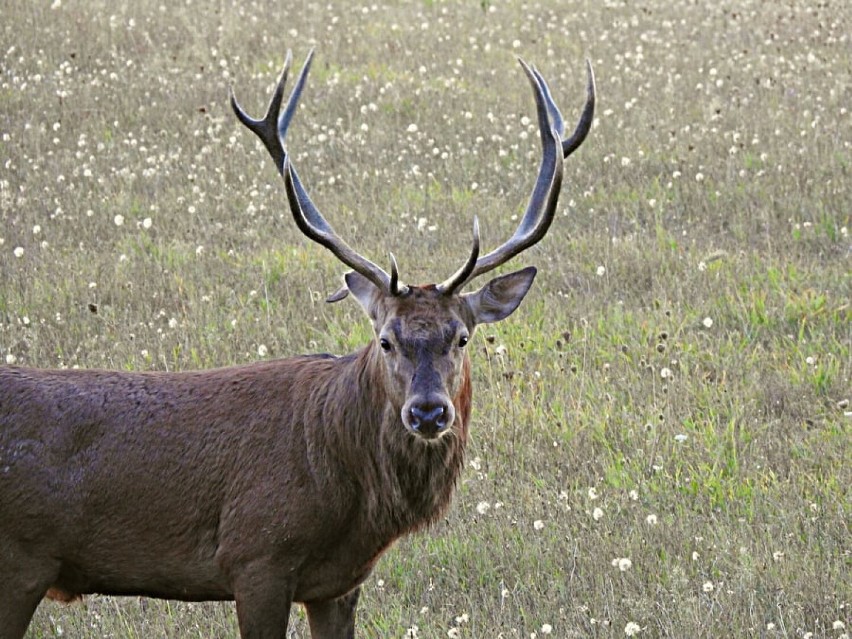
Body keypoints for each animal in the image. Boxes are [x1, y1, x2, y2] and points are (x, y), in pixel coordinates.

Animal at [0, 50, 592, 639]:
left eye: (463, 337)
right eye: (385, 341)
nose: (428, 412)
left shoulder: (339, 583)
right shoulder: (256, 555)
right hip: (21, 561)